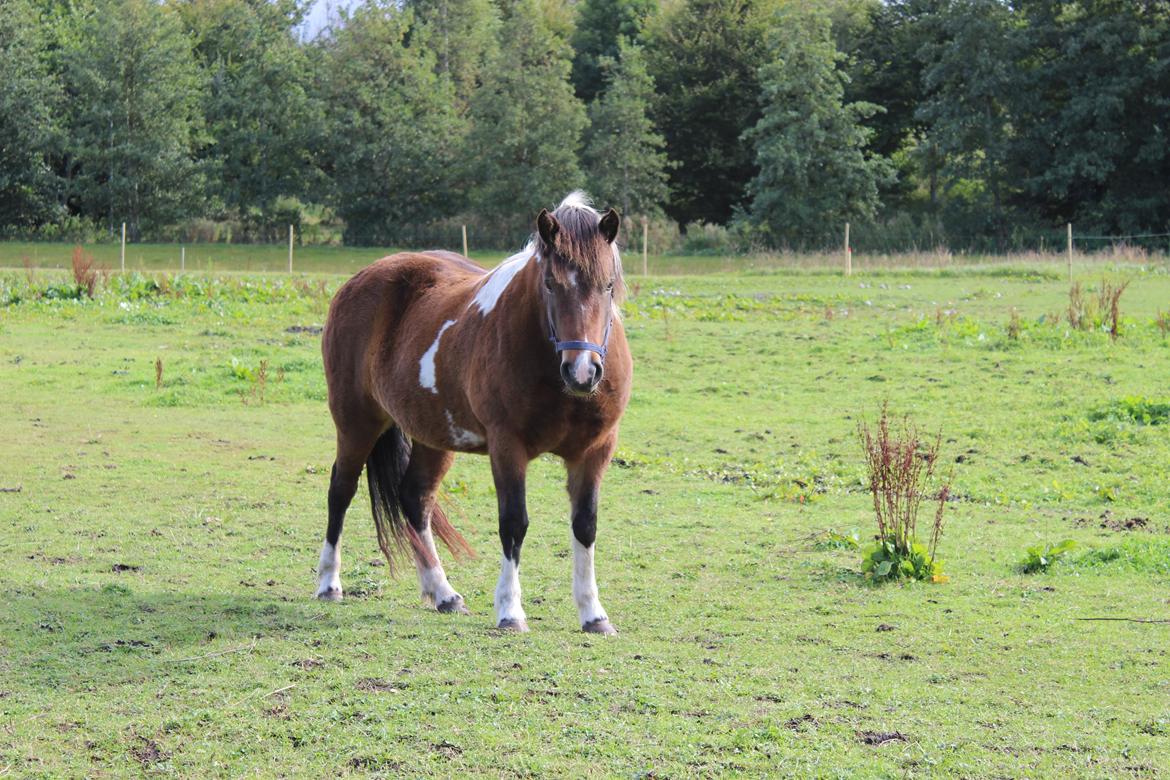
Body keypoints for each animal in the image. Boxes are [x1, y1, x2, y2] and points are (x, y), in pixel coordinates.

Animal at [315, 194, 631, 636]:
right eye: (551, 284)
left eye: (608, 285)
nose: (582, 372)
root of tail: (361, 279)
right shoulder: (507, 447)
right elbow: (514, 523)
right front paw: (510, 611)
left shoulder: (595, 451)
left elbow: (585, 525)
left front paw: (593, 614)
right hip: (357, 422)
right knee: (341, 491)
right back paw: (329, 583)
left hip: (432, 436)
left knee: (415, 498)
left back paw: (444, 593)